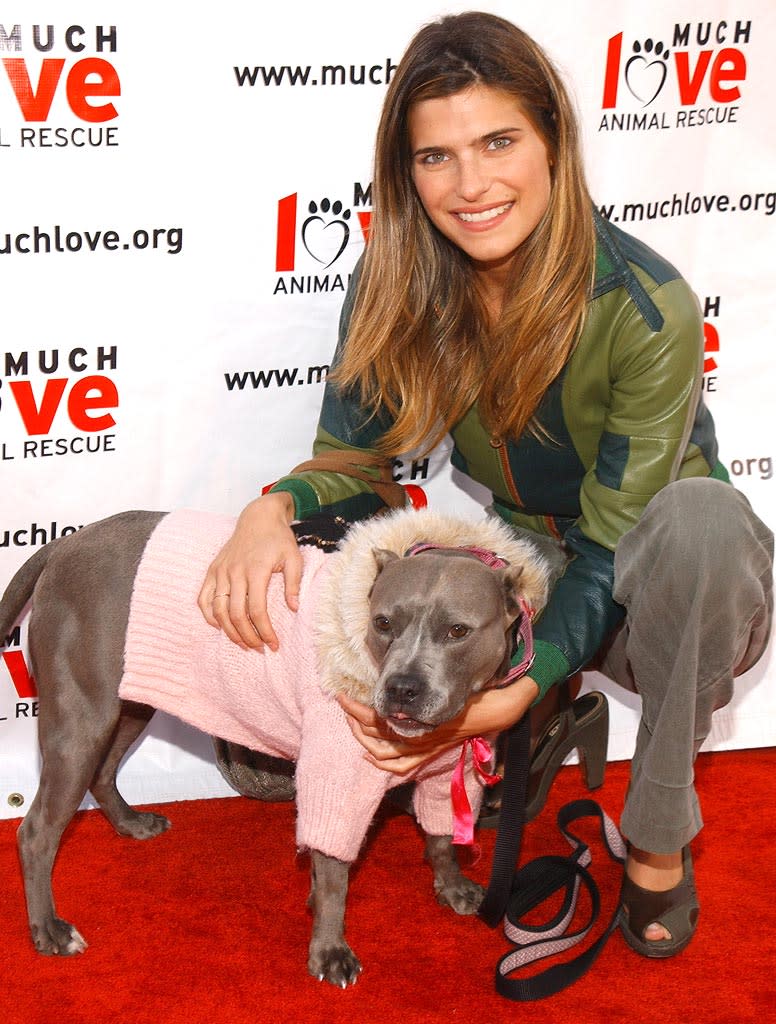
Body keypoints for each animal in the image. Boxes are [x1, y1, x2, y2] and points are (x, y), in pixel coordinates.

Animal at [0, 507, 548, 987]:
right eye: (382, 623)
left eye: (457, 630)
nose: (401, 689)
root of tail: (66, 543)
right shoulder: (335, 778)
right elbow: (335, 878)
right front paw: (329, 950)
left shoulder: (450, 770)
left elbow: (439, 838)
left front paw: (450, 886)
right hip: (82, 718)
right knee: (38, 831)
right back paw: (49, 930)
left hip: (132, 699)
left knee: (104, 772)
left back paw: (131, 823)